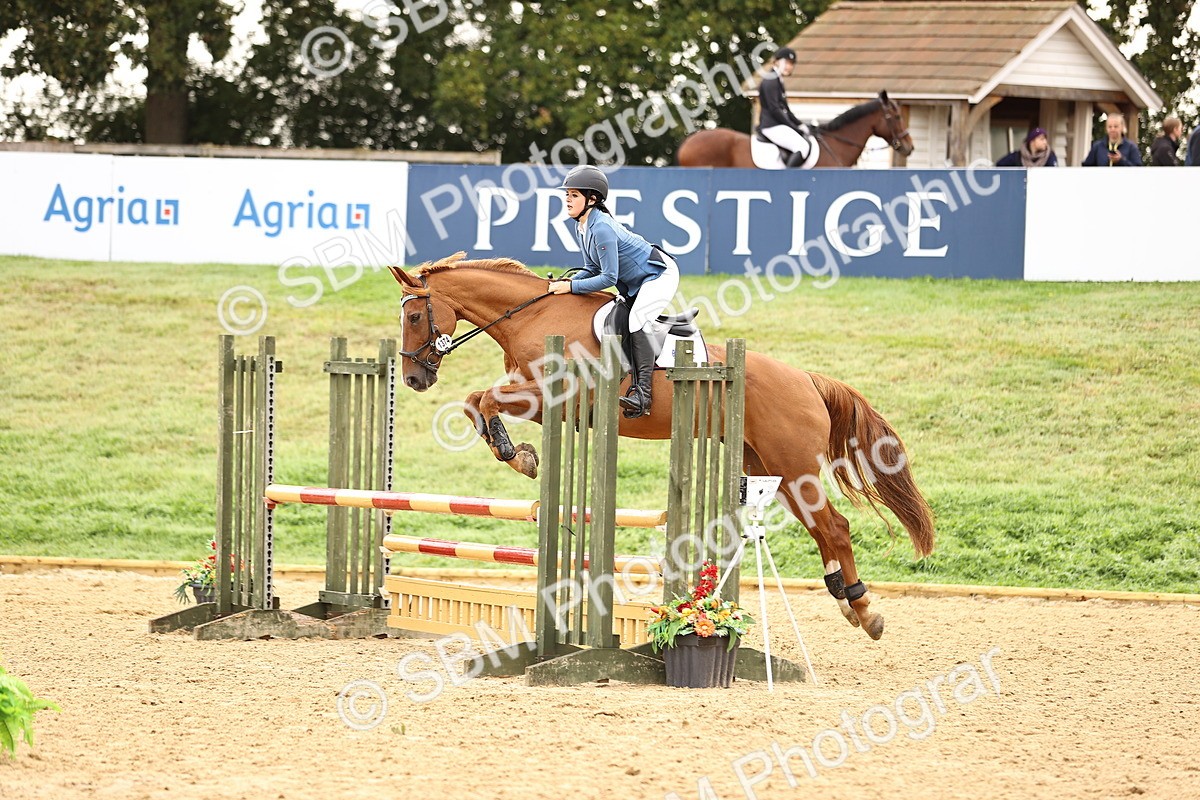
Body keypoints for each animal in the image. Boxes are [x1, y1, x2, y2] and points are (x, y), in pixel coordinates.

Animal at [387, 254, 935, 641]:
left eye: (413, 316)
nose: (414, 379)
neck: (532, 316)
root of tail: (807, 379)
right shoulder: (540, 401)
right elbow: (475, 402)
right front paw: (517, 451)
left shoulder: (551, 396)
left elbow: (482, 399)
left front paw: (518, 456)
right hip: (769, 469)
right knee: (823, 529)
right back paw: (849, 602)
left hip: (793, 464)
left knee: (835, 528)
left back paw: (864, 610)